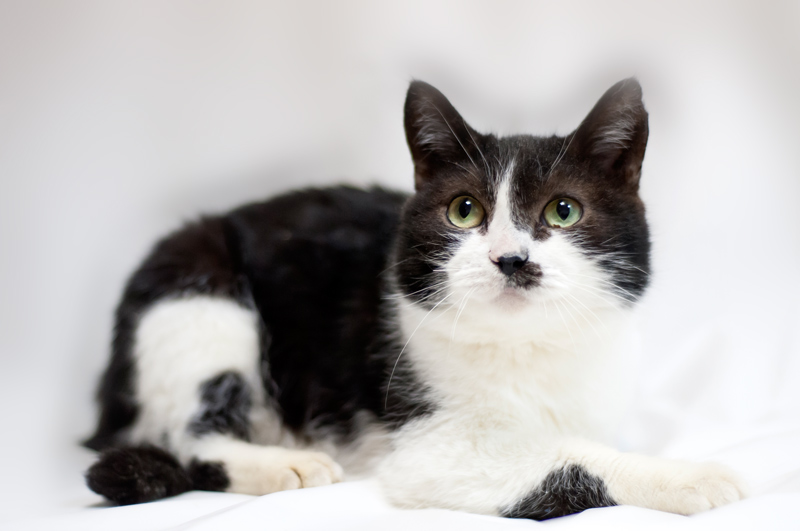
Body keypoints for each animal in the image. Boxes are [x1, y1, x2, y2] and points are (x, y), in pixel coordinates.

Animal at [84, 79, 746, 519]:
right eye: (464, 211)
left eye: (563, 211)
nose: (511, 258)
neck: (528, 347)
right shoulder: (431, 449)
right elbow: (569, 456)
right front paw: (690, 477)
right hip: (197, 294)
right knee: (188, 436)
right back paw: (283, 464)